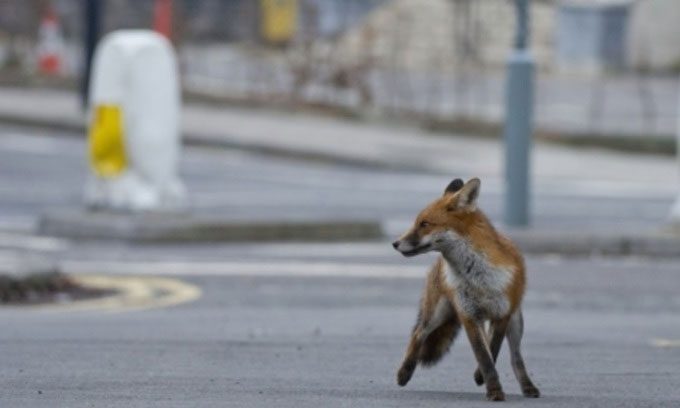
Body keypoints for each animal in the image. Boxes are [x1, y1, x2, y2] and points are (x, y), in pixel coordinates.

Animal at [390, 178, 540, 402]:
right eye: (416, 223)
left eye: (424, 224)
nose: (395, 243)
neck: (477, 277)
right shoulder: (468, 314)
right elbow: (484, 356)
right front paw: (493, 389)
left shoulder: (502, 314)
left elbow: (493, 350)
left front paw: (483, 379)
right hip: (438, 312)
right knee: (418, 333)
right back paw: (404, 372)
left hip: (515, 321)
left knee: (516, 357)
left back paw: (528, 386)